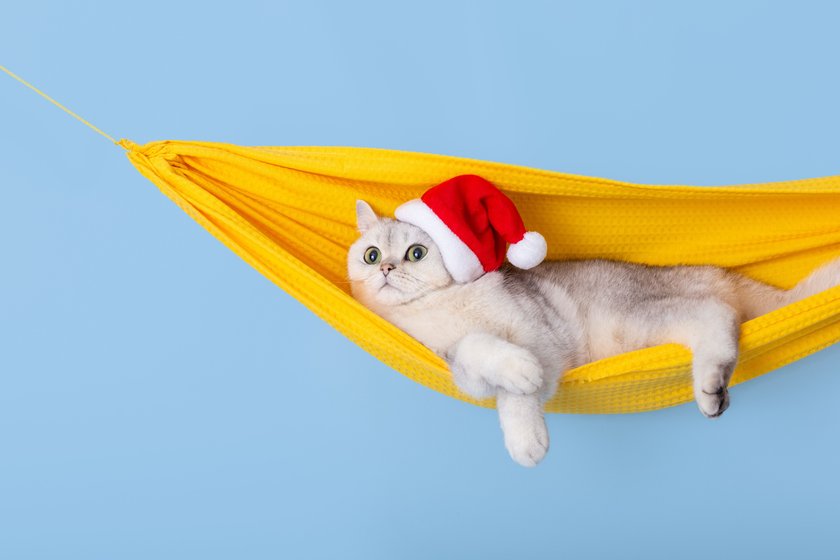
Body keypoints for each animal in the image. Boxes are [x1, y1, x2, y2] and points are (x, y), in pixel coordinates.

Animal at [346, 199, 840, 466]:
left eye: (416, 252)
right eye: (371, 255)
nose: (386, 269)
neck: (439, 308)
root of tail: (710, 271)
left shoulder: (539, 334)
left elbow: (518, 389)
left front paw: (525, 433)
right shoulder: (455, 366)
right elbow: (474, 351)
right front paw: (514, 371)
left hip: (632, 318)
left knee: (714, 312)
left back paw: (710, 386)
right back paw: (713, 385)